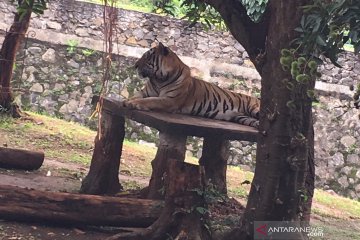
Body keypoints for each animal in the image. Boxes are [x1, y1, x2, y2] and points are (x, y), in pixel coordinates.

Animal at [122, 43, 260, 129]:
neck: (158, 79)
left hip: (255, 109)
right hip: (243, 118)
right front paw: (127, 100)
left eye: (147, 56)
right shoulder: (144, 92)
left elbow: (150, 101)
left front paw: (133, 103)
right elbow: (137, 95)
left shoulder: (170, 100)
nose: (135, 65)